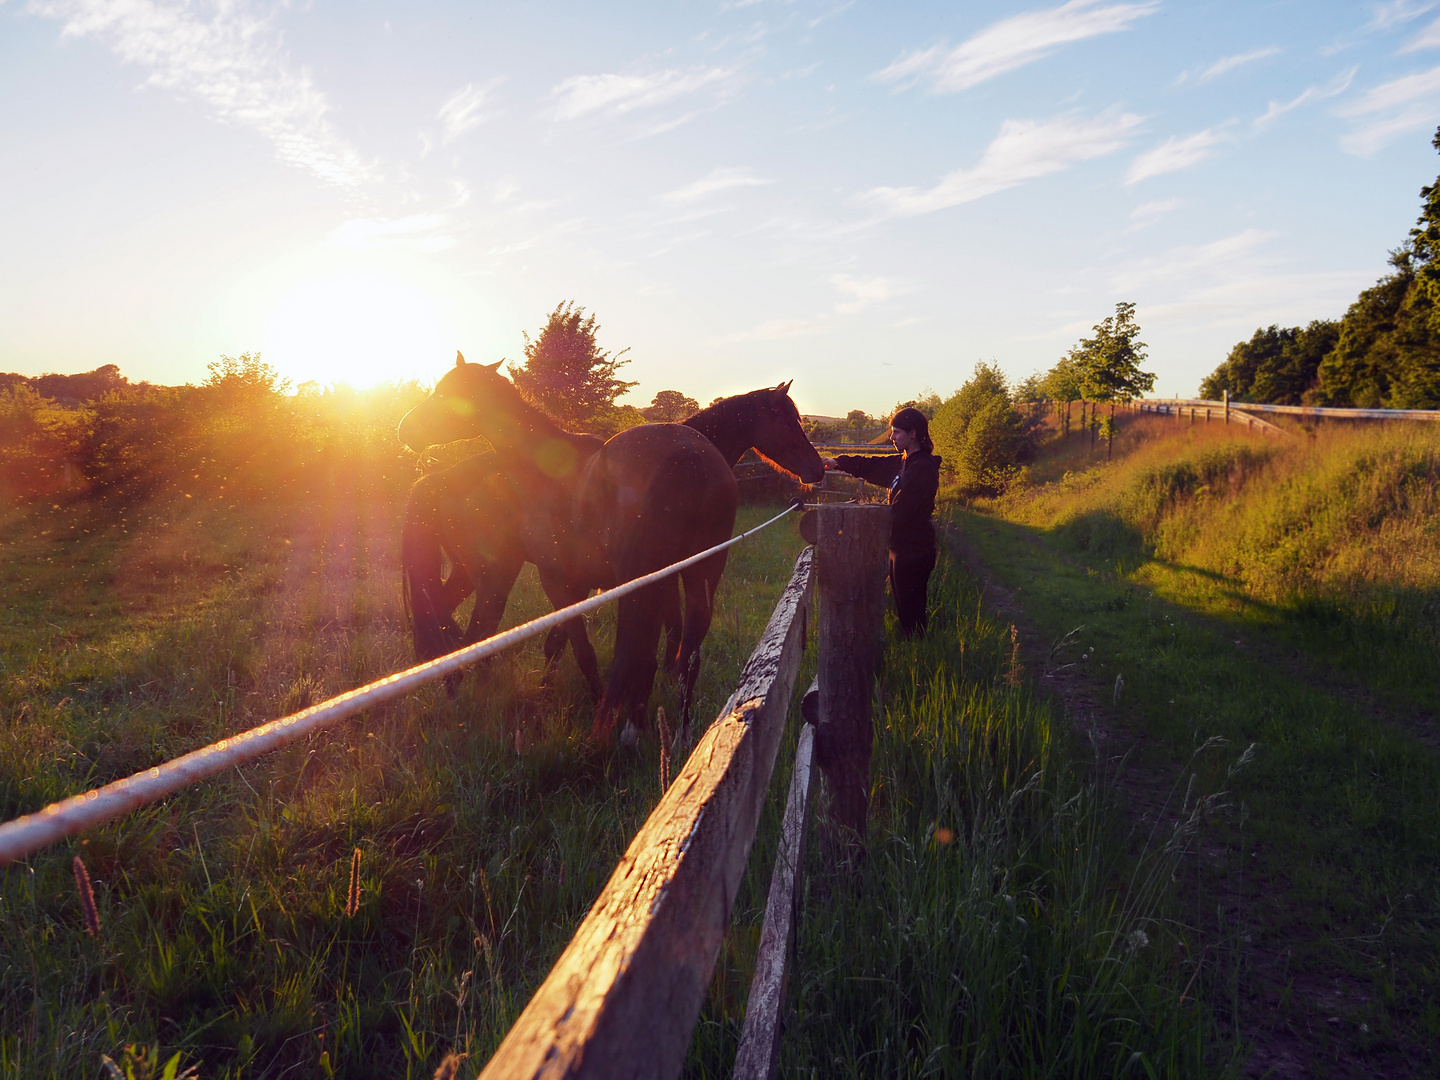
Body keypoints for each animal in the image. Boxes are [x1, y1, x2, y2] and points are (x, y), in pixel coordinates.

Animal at [394, 360, 823, 748]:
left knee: (473, 630)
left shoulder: (566, 582)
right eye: (788, 421)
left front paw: (594, 702)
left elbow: (582, 648)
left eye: (447, 395)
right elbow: (585, 644)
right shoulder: (593, 583)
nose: (405, 428)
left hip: (494, 575)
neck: (540, 467)